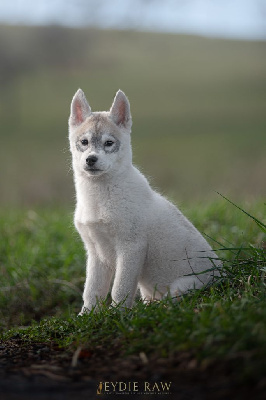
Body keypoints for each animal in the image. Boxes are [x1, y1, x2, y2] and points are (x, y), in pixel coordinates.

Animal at [69, 89, 220, 314]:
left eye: (109, 143)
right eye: (84, 142)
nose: (91, 160)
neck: (100, 196)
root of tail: (225, 275)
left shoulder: (131, 247)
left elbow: (119, 289)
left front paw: (118, 314)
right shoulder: (96, 253)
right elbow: (91, 291)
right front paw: (86, 316)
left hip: (182, 287)